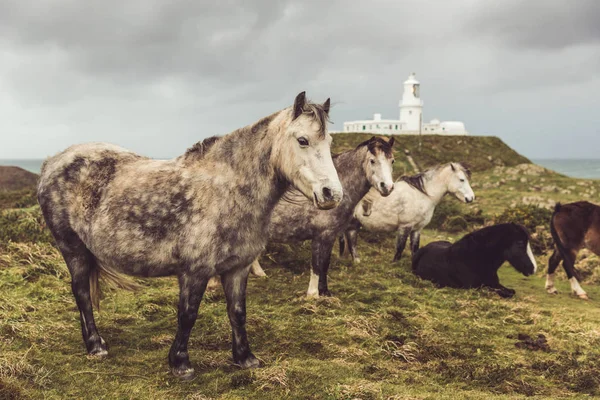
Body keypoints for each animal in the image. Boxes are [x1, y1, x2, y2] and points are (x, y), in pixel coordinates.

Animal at [342, 162, 474, 262]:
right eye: (462, 179)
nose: (471, 198)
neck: (422, 195)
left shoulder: (417, 229)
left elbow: (414, 248)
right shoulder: (405, 226)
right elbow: (400, 247)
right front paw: (395, 263)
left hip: (353, 222)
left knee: (350, 238)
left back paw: (355, 261)